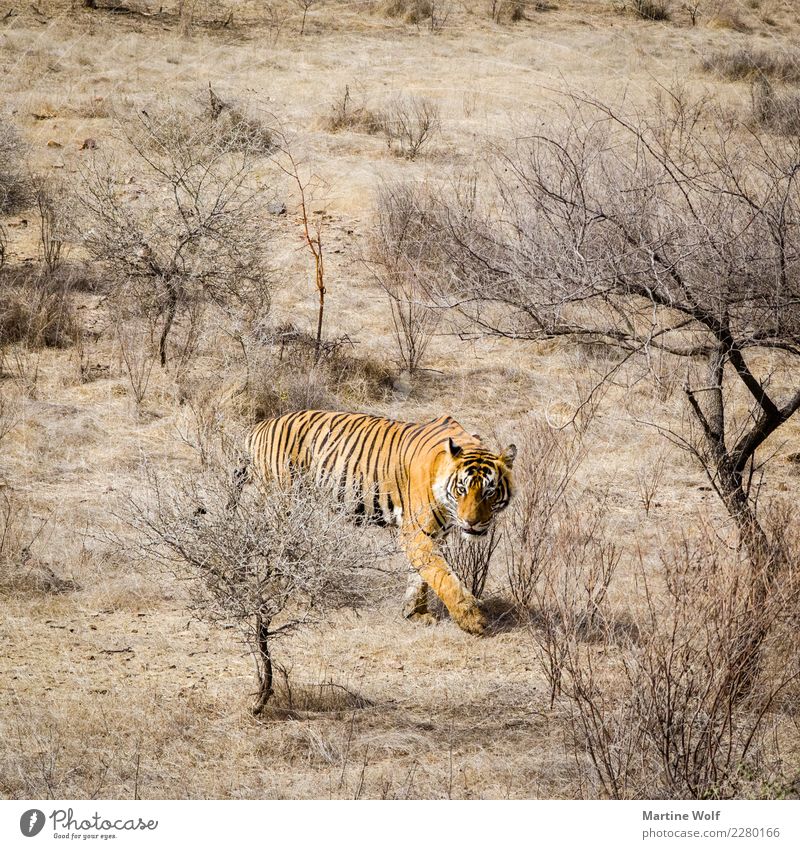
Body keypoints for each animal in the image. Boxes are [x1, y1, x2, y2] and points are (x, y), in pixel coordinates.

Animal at [244, 408, 516, 632]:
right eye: (462, 489)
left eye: (489, 492)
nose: (471, 523)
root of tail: (260, 426)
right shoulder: (416, 532)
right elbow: (443, 576)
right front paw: (472, 619)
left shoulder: (433, 534)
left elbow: (422, 576)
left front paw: (415, 613)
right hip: (282, 503)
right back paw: (282, 584)